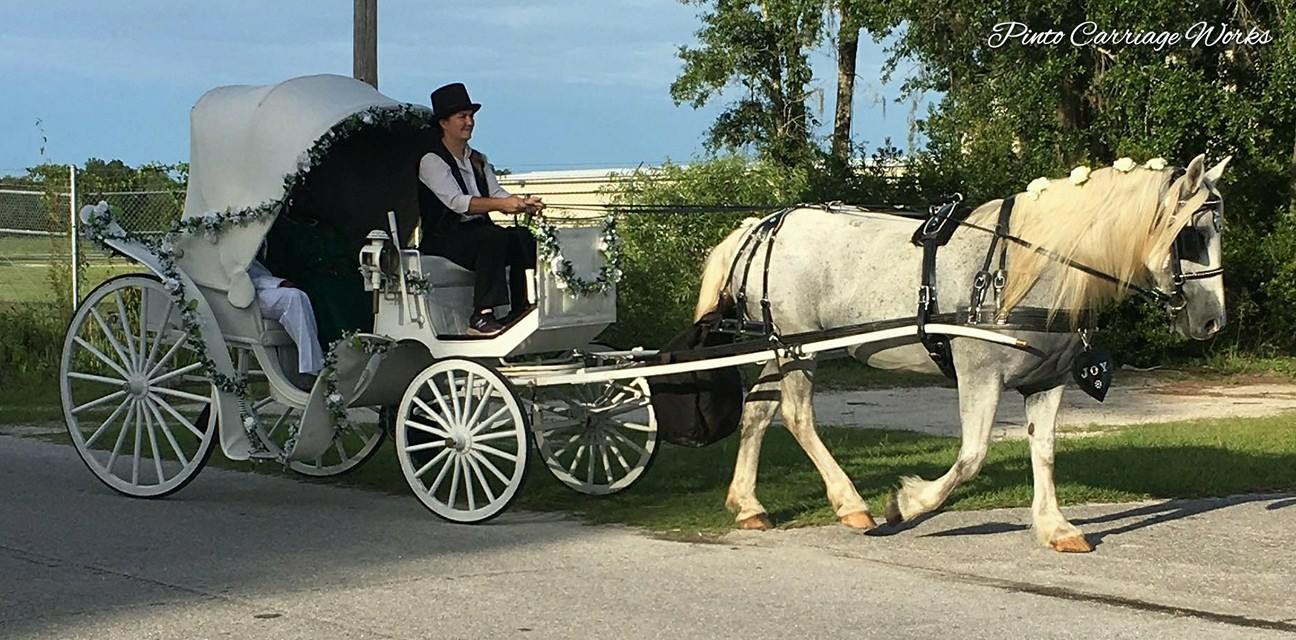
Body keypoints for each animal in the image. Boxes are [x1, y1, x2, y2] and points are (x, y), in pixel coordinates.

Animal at [694, 150, 1228, 549]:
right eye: (1193, 235)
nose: (1212, 320)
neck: (1026, 270)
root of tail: (761, 225)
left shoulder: (1048, 380)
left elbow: (1044, 450)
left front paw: (1055, 527)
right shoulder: (980, 374)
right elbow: (972, 455)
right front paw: (907, 504)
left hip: (782, 348)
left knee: (757, 413)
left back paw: (749, 505)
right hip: (800, 350)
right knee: (798, 416)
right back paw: (852, 504)